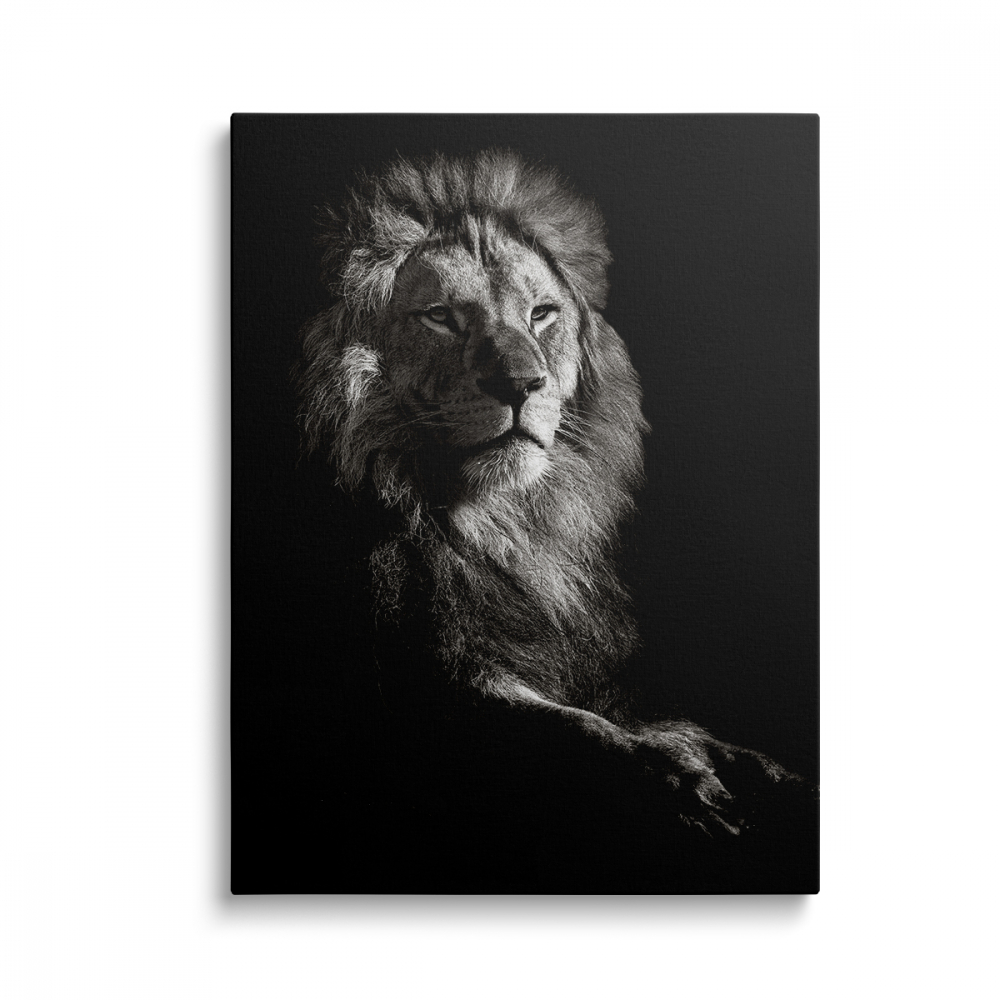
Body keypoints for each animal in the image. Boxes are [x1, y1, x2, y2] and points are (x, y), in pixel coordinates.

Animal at [295, 150, 810, 858]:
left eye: (541, 314)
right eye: (441, 316)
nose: (521, 385)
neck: (498, 522)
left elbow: (683, 732)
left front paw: (767, 774)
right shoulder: (434, 687)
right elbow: (576, 727)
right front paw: (681, 783)